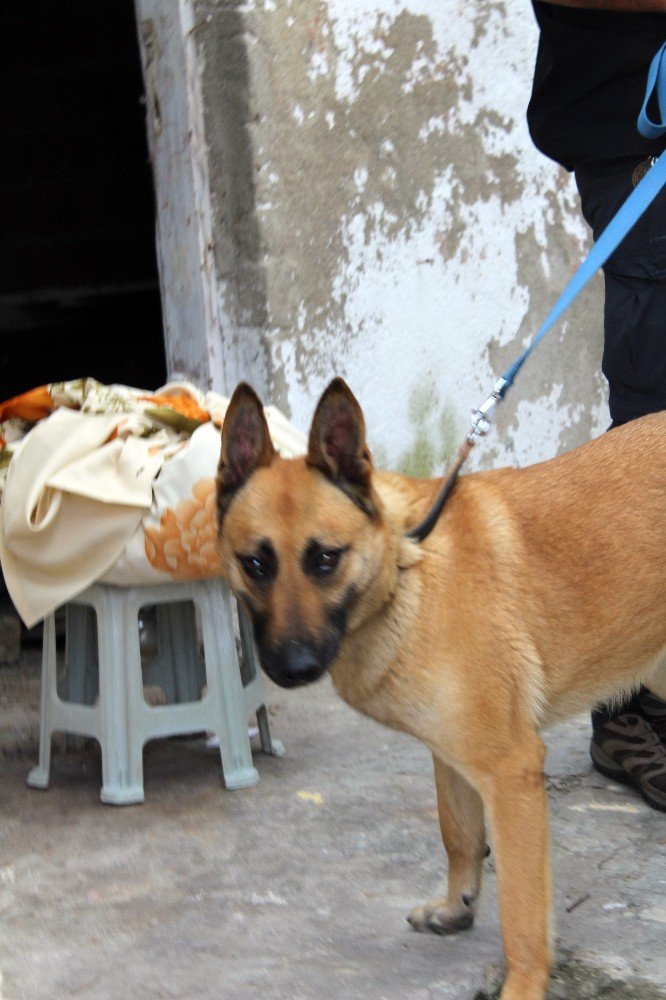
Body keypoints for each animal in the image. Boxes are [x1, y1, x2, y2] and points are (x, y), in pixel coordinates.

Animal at [215, 378, 660, 1000]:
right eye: (255, 564)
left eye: (325, 559)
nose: (294, 667)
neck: (406, 570)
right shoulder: (452, 756)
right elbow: (459, 833)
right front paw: (457, 905)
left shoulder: (511, 772)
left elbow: (522, 912)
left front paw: (523, 984)